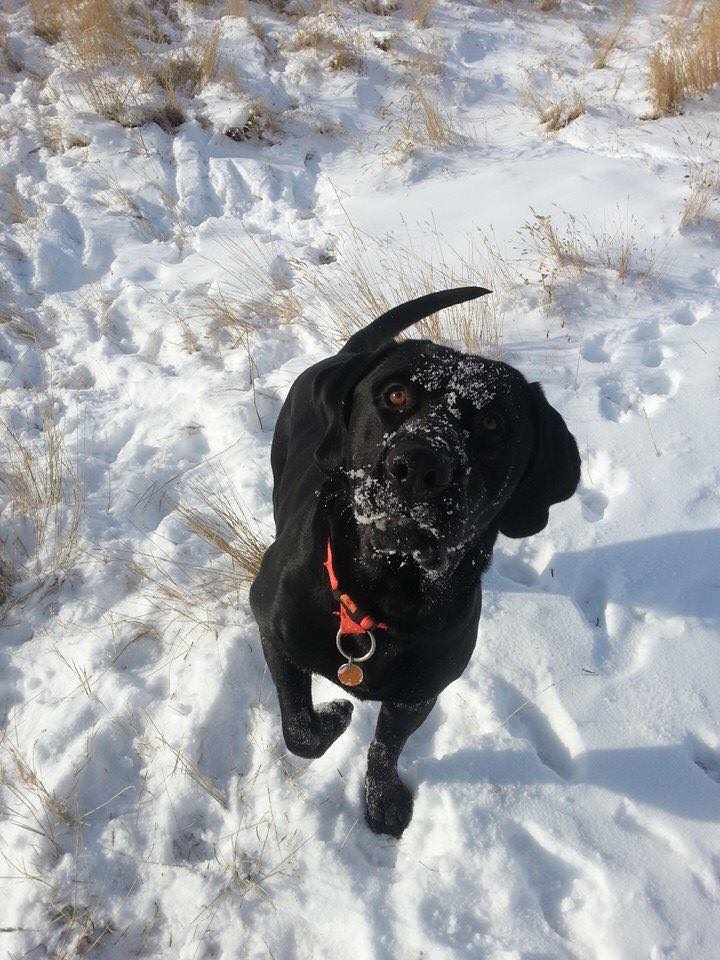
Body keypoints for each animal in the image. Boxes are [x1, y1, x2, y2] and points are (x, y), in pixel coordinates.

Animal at [250, 284, 584, 832]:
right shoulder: (273, 631)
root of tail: (351, 352)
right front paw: (335, 716)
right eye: (395, 395)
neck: (384, 596)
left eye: (491, 421)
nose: (420, 465)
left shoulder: (419, 692)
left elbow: (386, 748)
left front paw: (382, 799)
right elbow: (299, 731)